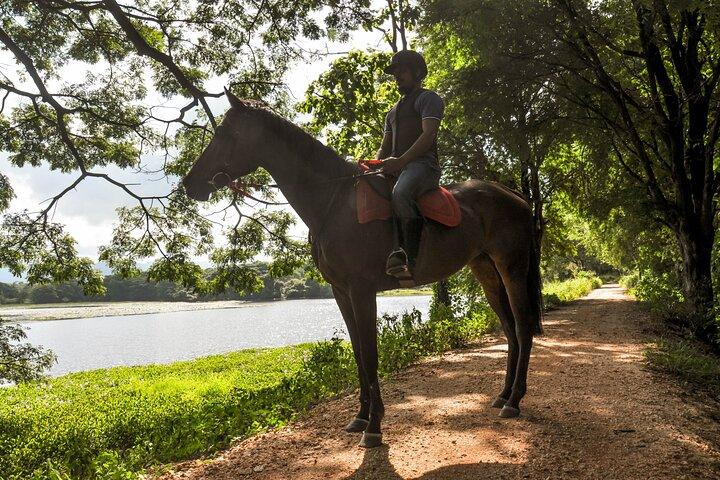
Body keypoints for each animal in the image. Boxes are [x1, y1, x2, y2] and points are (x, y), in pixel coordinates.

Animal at [183, 90, 543, 448]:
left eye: (224, 133)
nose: (190, 183)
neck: (333, 201)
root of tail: (514, 196)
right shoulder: (341, 292)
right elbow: (357, 354)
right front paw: (360, 417)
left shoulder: (361, 290)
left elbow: (370, 354)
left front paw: (374, 426)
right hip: (486, 271)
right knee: (510, 329)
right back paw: (503, 395)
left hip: (511, 266)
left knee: (523, 326)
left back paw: (514, 401)